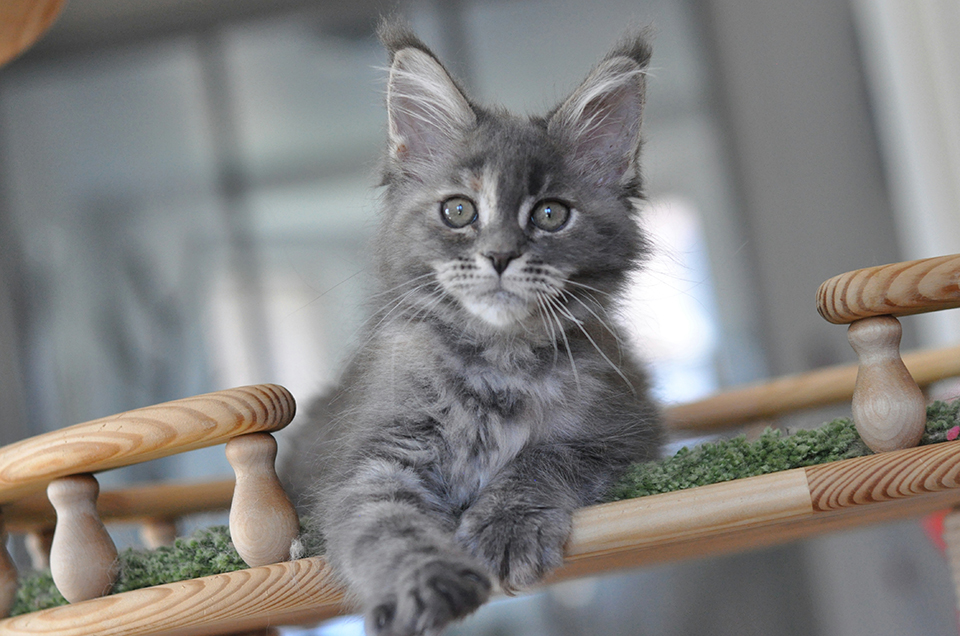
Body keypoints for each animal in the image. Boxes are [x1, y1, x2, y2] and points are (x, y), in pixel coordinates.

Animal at [282, 22, 664, 636]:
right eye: (459, 212)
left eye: (551, 214)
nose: (501, 256)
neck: (499, 362)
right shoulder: (367, 462)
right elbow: (384, 526)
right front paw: (427, 582)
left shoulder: (625, 426)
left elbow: (546, 456)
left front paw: (507, 525)